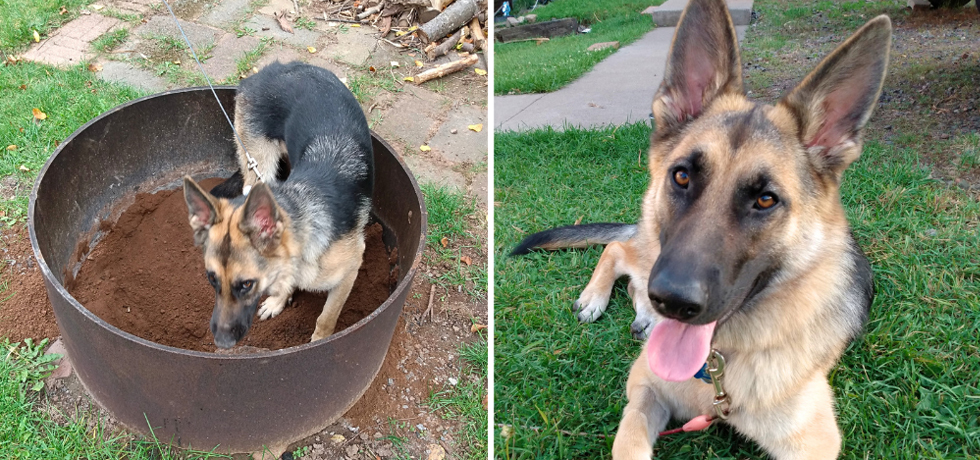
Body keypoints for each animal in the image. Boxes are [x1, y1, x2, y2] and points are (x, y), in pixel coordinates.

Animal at [181, 61, 372, 348]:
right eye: (211, 278)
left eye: (247, 284)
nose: (221, 343)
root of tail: (268, 70)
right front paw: (279, 300)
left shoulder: (349, 273)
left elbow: (325, 319)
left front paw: (318, 342)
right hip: (258, 164)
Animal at [512, 0, 888, 456]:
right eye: (682, 176)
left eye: (766, 200)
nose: (673, 301)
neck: (715, 368)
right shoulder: (642, 387)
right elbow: (629, 440)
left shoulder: (814, 442)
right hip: (650, 255)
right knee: (618, 250)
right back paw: (598, 299)